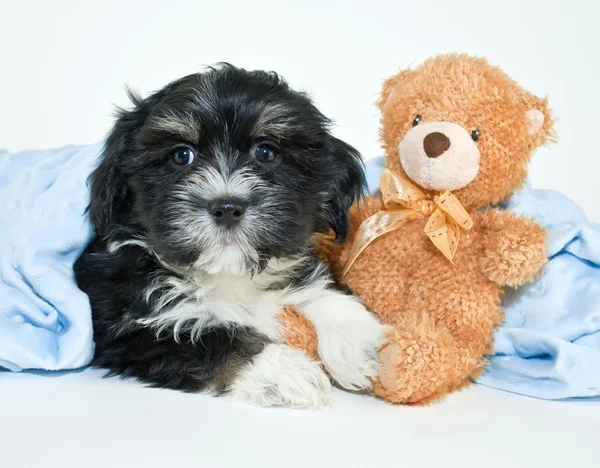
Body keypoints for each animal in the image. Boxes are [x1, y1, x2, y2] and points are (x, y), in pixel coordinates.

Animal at [75, 64, 384, 408]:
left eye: (267, 152)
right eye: (181, 156)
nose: (226, 207)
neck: (227, 276)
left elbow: (315, 287)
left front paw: (356, 343)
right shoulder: (121, 324)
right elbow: (205, 338)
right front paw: (281, 370)